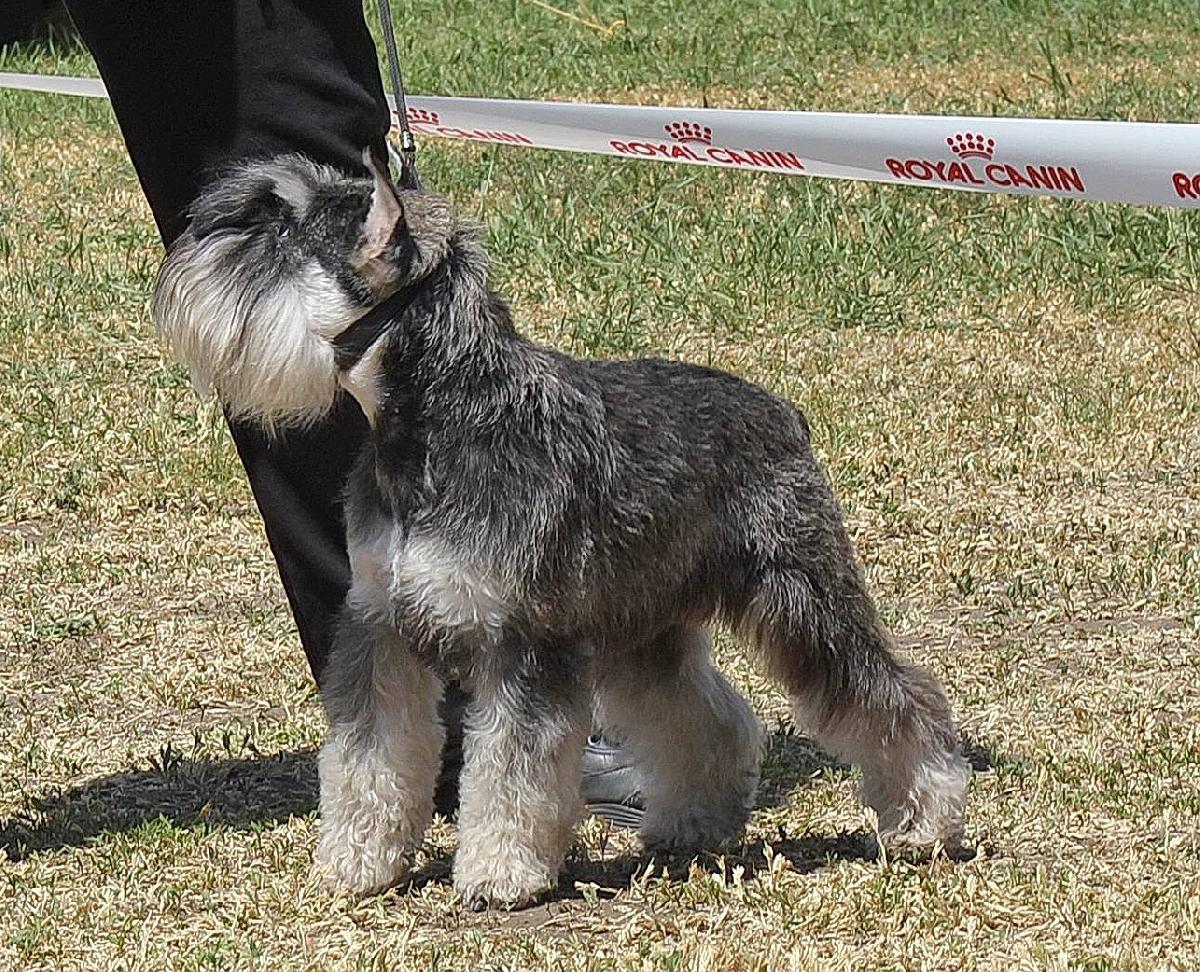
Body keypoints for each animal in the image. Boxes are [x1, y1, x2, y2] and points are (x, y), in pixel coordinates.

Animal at [151, 151, 970, 911]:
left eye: (281, 234)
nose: (182, 256)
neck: (439, 422)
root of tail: (783, 412)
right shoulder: (379, 627)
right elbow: (369, 758)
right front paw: (356, 862)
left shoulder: (525, 644)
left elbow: (512, 770)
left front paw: (500, 874)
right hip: (642, 628)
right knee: (707, 719)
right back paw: (694, 824)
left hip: (801, 599)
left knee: (891, 696)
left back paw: (926, 822)